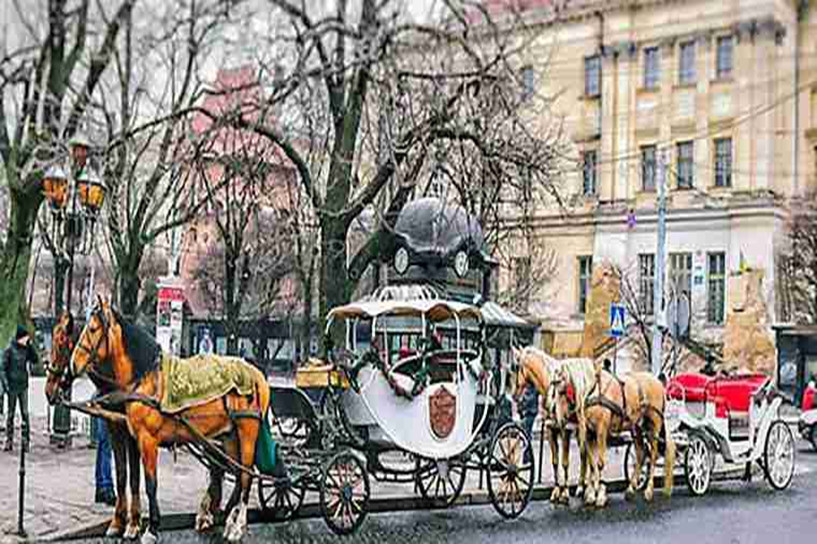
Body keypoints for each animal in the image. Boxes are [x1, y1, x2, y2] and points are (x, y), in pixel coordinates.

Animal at [45, 312, 141, 536]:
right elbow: (122, 472)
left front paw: (134, 523)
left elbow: (134, 475)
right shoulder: (115, 427)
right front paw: (118, 520)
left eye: (61, 344)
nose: (49, 390)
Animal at [68, 302, 270, 544]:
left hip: (247, 432)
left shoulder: (147, 440)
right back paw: (226, 519)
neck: (145, 378)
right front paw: (131, 525)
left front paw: (152, 528)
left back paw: (237, 525)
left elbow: (150, 484)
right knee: (236, 474)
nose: (73, 364)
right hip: (229, 437)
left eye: (93, 329)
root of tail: (257, 375)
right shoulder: (132, 436)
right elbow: (130, 477)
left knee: (246, 475)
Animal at [510, 346, 592, 504]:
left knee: (585, 453)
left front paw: (565, 492)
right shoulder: (550, 429)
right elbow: (555, 461)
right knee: (584, 453)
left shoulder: (565, 429)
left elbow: (565, 462)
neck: (552, 387)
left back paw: (583, 487)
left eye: (516, 367)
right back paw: (581, 486)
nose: (514, 396)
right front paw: (556, 491)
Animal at [556, 368, 676, 508]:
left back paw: (649, 490)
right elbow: (592, 464)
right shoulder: (590, 434)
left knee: (653, 455)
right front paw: (591, 494)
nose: (561, 422)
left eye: (563, 392)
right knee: (641, 453)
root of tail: (658, 382)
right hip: (637, 427)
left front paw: (600, 495)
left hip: (654, 426)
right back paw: (630, 488)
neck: (594, 392)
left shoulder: (601, 432)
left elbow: (600, 463)